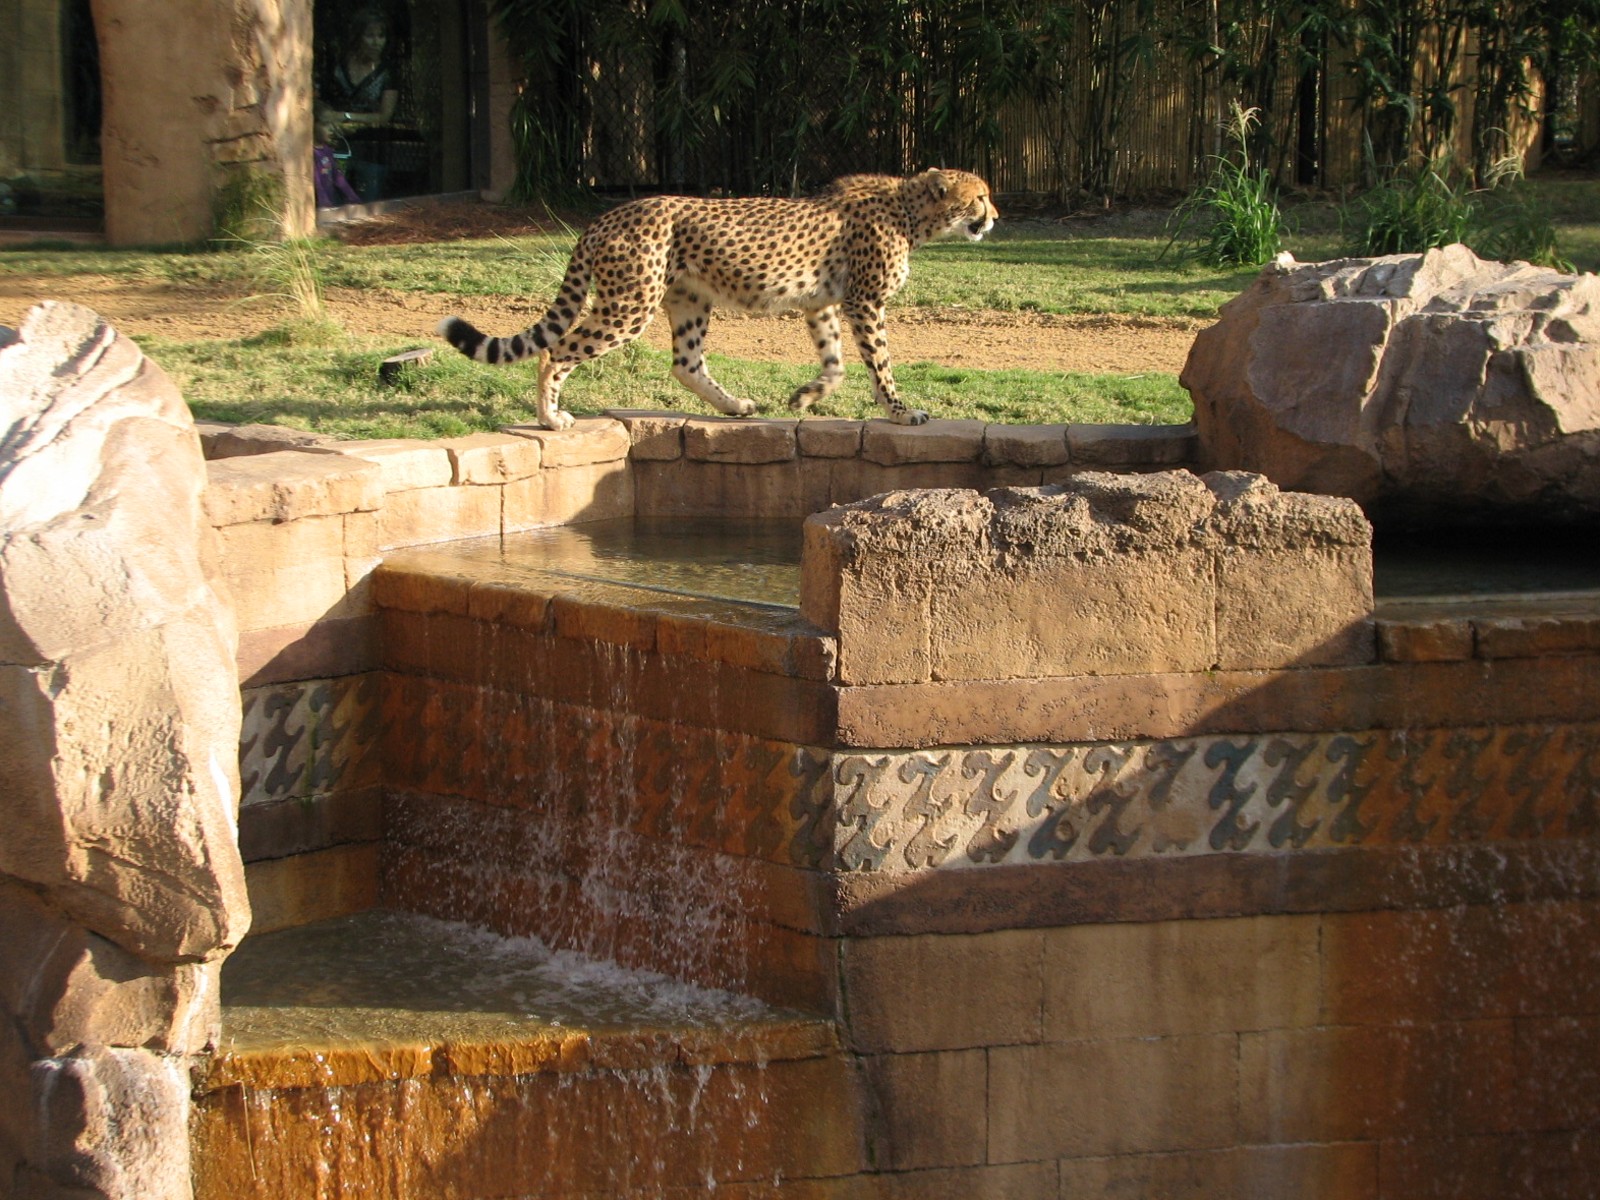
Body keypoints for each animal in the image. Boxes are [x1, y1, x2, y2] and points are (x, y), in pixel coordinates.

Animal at [437, 168, 997, 430]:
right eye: (980, 196)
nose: (994, 217)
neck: (909, 211)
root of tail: (608, 214)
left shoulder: (821, 304)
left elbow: (835, 364)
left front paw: (804, 397)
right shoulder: (865, 302)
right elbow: (879, 365)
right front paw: (901, 412)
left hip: (688, 300)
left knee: (685, 363)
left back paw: (736, 405)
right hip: (629, 303)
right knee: (557, 349)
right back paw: (551, 418)